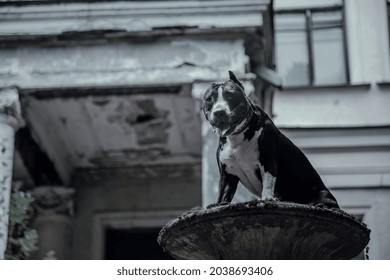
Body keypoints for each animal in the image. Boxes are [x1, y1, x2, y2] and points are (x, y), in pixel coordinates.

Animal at [203, 71, 340, 209]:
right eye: (209, 99)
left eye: (230, 95)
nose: (219, 112)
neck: (237, 135)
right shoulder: (227, 174)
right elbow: (223, 195)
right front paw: (218, 204)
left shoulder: (268, 161)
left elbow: (268, 183)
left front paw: (267, 198)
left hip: (323, 193)